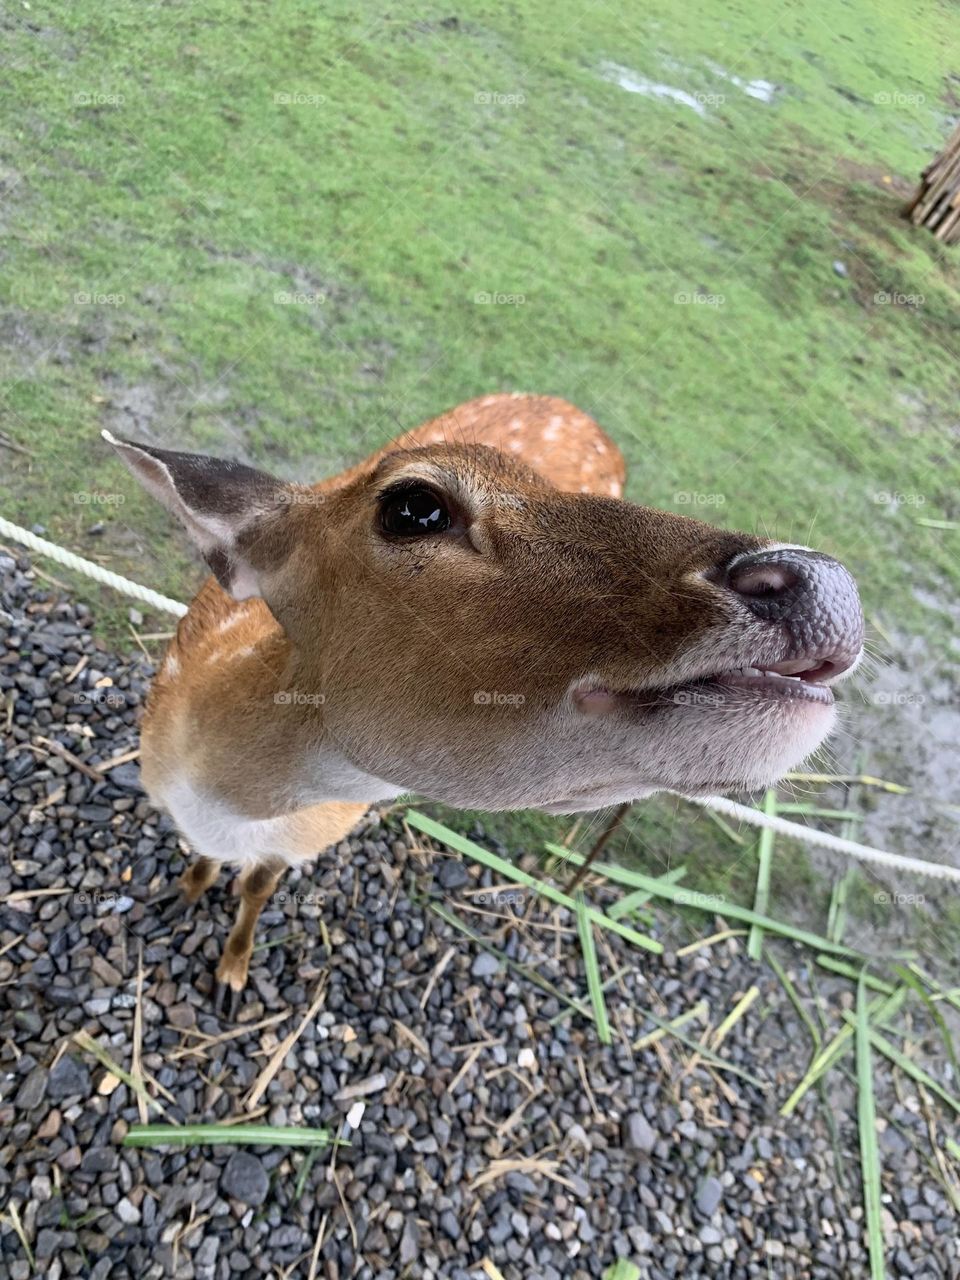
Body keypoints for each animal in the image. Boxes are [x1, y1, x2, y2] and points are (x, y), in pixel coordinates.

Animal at [103, 393, 864, 1011]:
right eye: (413, 506)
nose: (826, 583)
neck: (222, 803)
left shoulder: (309, 840)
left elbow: (257, 891)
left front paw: (231, 974)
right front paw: (180, 896)